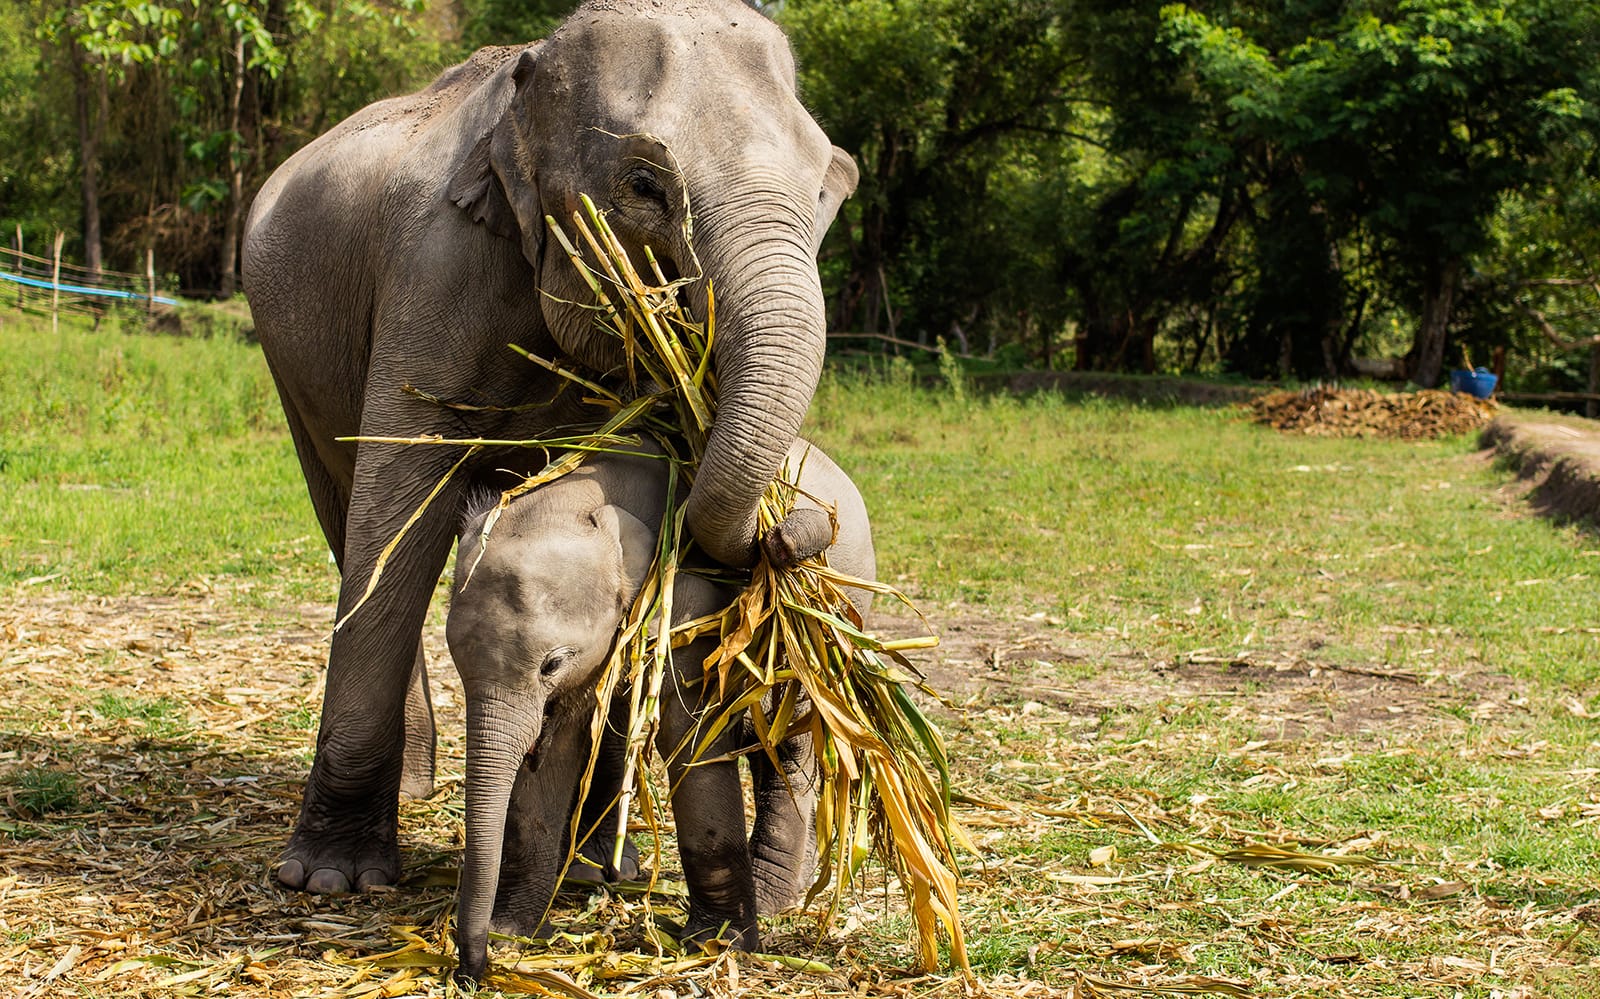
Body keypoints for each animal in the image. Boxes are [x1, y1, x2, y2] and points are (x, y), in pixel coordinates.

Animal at [240, 0, 859, 896]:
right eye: (644, 186)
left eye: (824, 192)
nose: (789, 533)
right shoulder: (432, 273)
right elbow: (399, 507)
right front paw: (334, 878)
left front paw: (597, 868)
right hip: (287, 358)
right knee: (346, 517)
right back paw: (406, 796)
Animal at [445, 437, 875, 981]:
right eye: (456, 659)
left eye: (551, 664)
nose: (471, 971)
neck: (586, 496)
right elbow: (559, 752)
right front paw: (514, 933)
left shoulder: (690, 609)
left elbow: (690, 743)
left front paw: (717, 944)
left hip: (824, 631)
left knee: (789, 747)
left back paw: (773, 900)